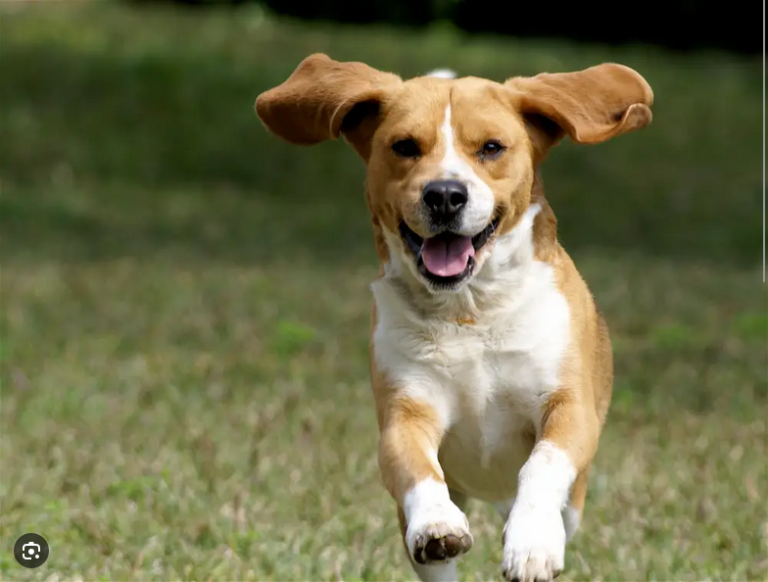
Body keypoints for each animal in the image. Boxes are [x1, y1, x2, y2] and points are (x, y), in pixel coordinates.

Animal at [255, 56, 652, 582]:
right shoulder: (406, 410)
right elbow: (416, 467)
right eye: (405, 146)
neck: (470, 312)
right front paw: (436, 524)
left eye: (491, 147)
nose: (445, 194)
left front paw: (531, 542)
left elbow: (543, 463)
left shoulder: (568, 406)